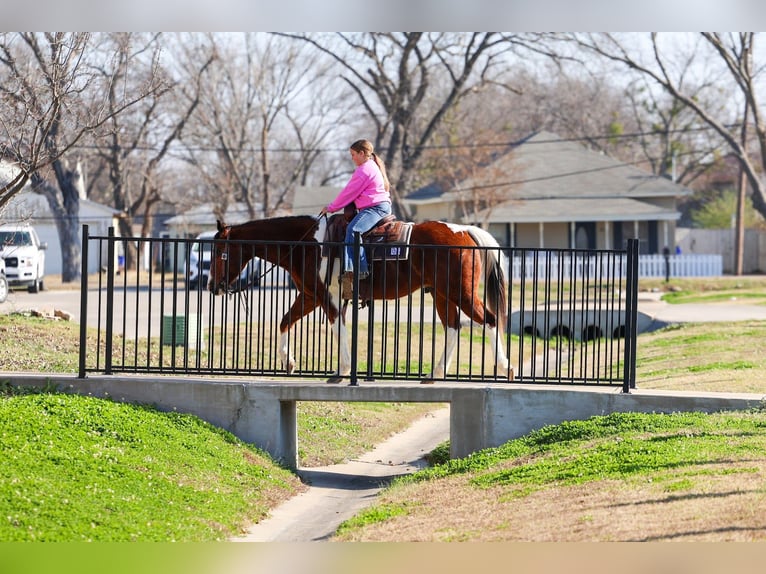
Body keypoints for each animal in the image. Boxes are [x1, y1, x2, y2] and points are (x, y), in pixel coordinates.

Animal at [208, 215, 514, 383]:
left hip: (460, 292)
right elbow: (285, 321)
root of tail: (464, 231)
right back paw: (435, 373)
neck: (307, 244)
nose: (212, 286)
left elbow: (338, 328)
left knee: (489, 320)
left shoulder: (327, 297)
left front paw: (342, 369)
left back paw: (505, 367)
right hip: (442, 294)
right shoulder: (309, 295)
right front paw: (288, 361)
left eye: (219, 252)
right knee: (453, 327)